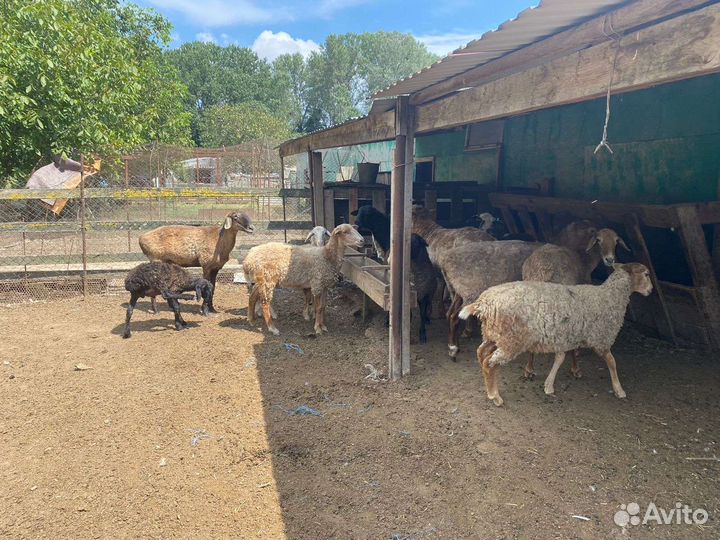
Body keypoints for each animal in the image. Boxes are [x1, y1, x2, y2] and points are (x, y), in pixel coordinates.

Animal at [459, 263, 653, 406]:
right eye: (646, 274)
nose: (651, 291)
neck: (611, 296)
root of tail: (484, 303)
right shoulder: (601, 339)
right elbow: (612, 362)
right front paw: (619, 389)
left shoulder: (566, 335)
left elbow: (560, 358)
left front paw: (549, 385)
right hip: (511, 340)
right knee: (489, 362)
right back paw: (495, 396)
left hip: (494, 335)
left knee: (481, 353)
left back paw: (488, 388)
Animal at [521, 223, 631, 379]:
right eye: (599, 240)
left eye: (616, 241)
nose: (610, 260)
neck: (584, 260)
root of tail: (542, 271)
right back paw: (575, 368)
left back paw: (529, 368)